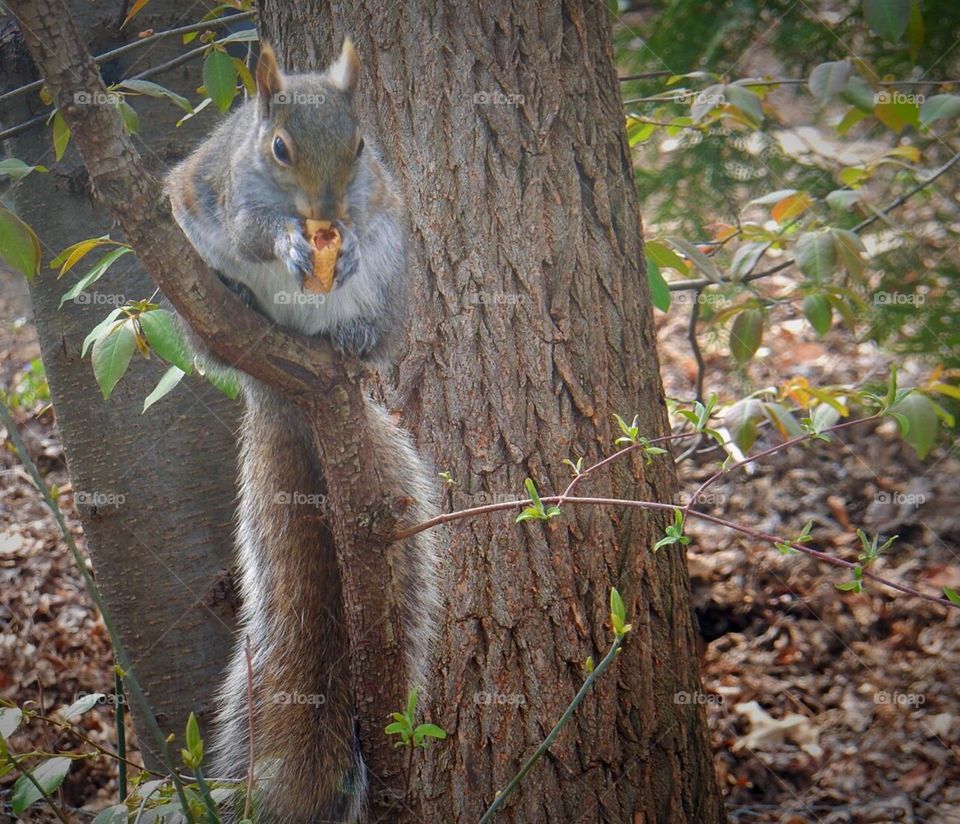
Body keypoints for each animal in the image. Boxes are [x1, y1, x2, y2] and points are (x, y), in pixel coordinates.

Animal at [164, 40, 441, 823]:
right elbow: (246, 227)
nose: (325, 213)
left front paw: (340, 247)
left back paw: (353, 333)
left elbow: (367, 221)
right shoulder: (216, 186)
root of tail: (287, 384)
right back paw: (235, 299)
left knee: (375, 338)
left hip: (394, 289)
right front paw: (286, 240)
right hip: (193, 304)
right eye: (279, 148)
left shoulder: (376, 200)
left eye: (360, 145)